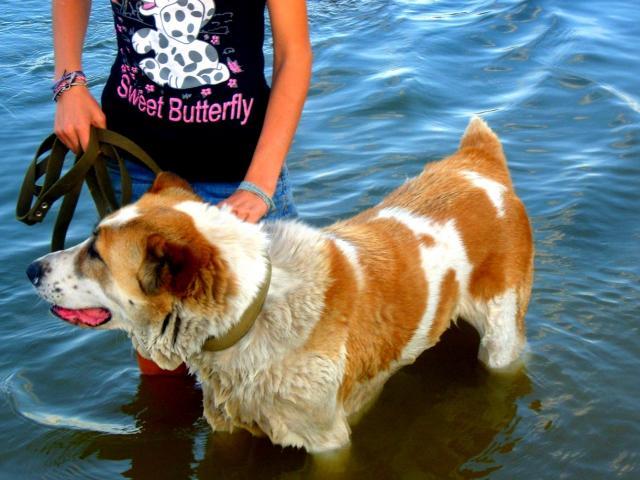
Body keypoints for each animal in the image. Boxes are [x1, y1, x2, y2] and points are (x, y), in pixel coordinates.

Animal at [27, 118, 534, 453]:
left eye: (95, 254)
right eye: (91, 239)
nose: (32, 269)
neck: (253, 312)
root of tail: (478, 164)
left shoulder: (326, 442)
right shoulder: (224, 422)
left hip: (500, 338)